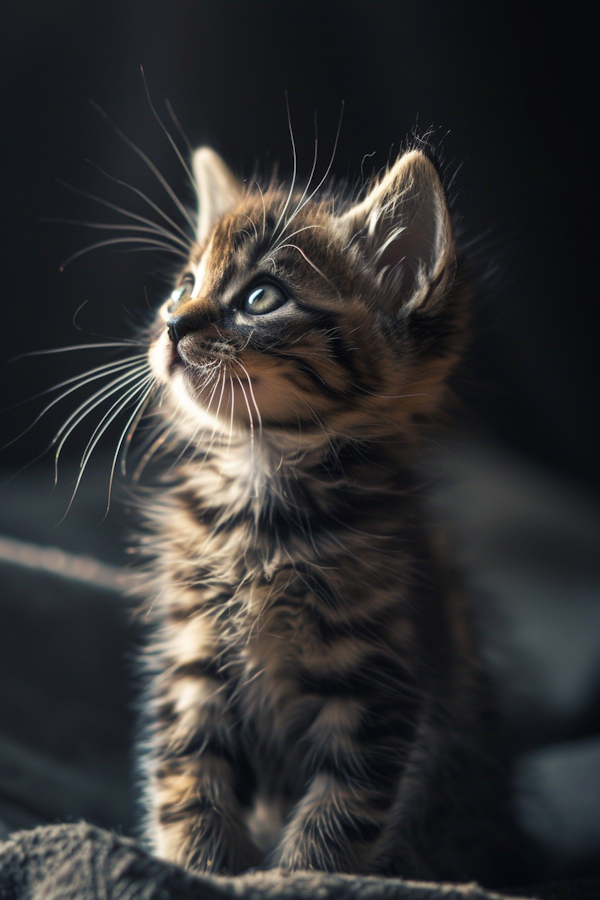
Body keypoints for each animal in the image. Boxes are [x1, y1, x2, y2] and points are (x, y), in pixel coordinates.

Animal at [138, 144, 516, 884]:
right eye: (183, 285)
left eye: (261, 298)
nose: (170, 324)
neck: (265, 496)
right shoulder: (195, 655)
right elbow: (187, 774)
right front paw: (196, 867)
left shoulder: (376, 689)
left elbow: (337, 821)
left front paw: (296, 877)